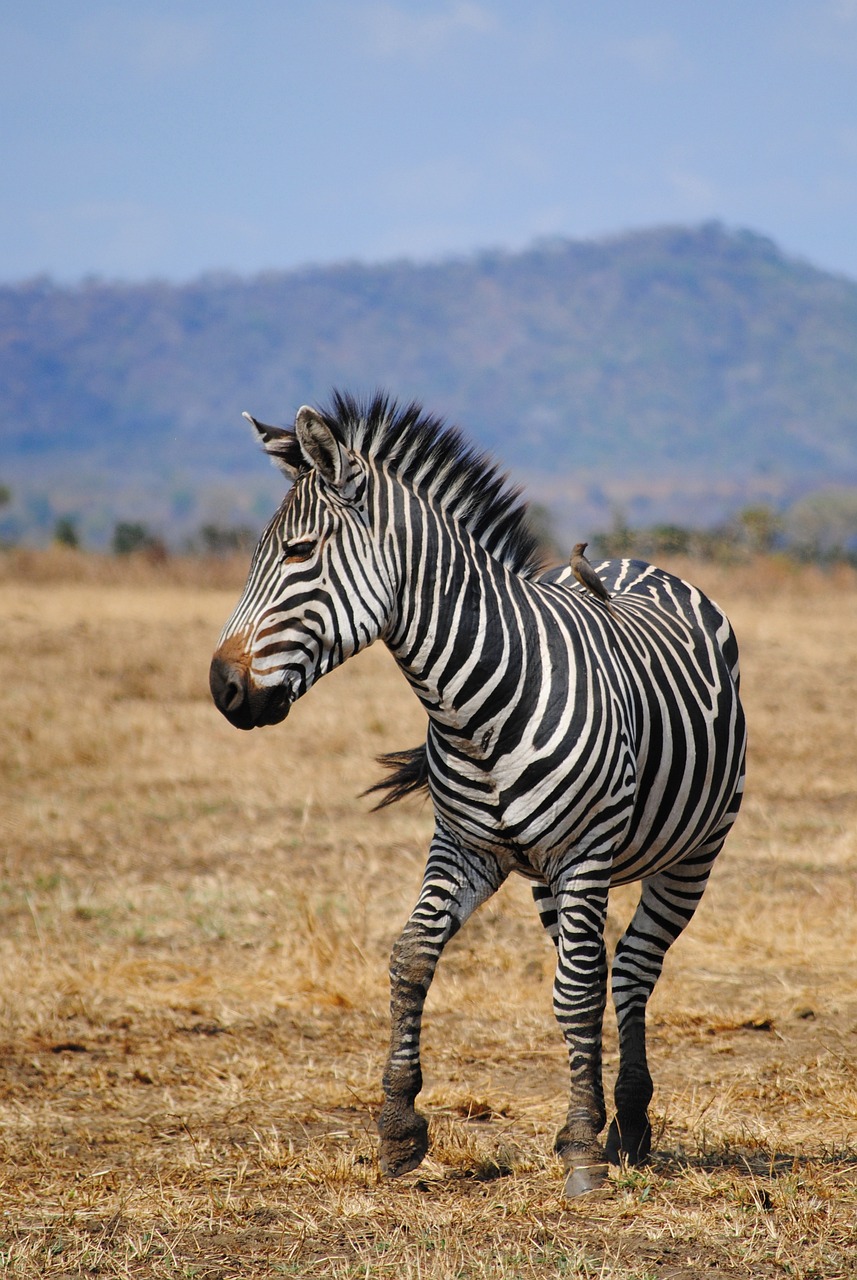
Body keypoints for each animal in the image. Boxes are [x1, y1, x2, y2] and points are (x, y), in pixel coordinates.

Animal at [211, 391, 746, 1198]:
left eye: (300, 555)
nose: (222, 687)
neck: (473, 707)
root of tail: (633, 563)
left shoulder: (583, 851)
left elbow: (577, 991)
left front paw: (583, 1149)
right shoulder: (463, 848)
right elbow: (411, 956)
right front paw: (400, 1128)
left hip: (689, 856)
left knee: (627, 970)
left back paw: (627, 1123)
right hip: (549, 882)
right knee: (592, 968)